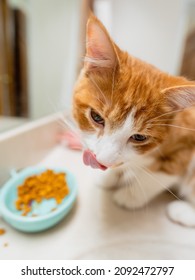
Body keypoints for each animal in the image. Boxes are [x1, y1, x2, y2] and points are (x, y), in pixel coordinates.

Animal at [72, 14, 195, 226]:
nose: (101, 161)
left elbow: (158, 175)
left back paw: (182, 211)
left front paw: (130, 196)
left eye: (139, 137)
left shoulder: (185, 147)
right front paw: (110, 177)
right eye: (96, 117)